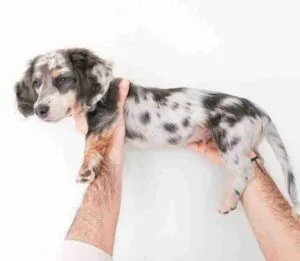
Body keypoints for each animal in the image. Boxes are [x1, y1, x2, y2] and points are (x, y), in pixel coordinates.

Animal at [14, 47, 300, 214]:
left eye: (63, 79)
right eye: (36, 83)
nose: (39, 110)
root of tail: (257, 110)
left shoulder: (106, 115)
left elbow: (91, 141)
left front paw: (86, 169)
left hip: (230, 143)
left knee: (247, 171)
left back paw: (229, 200)